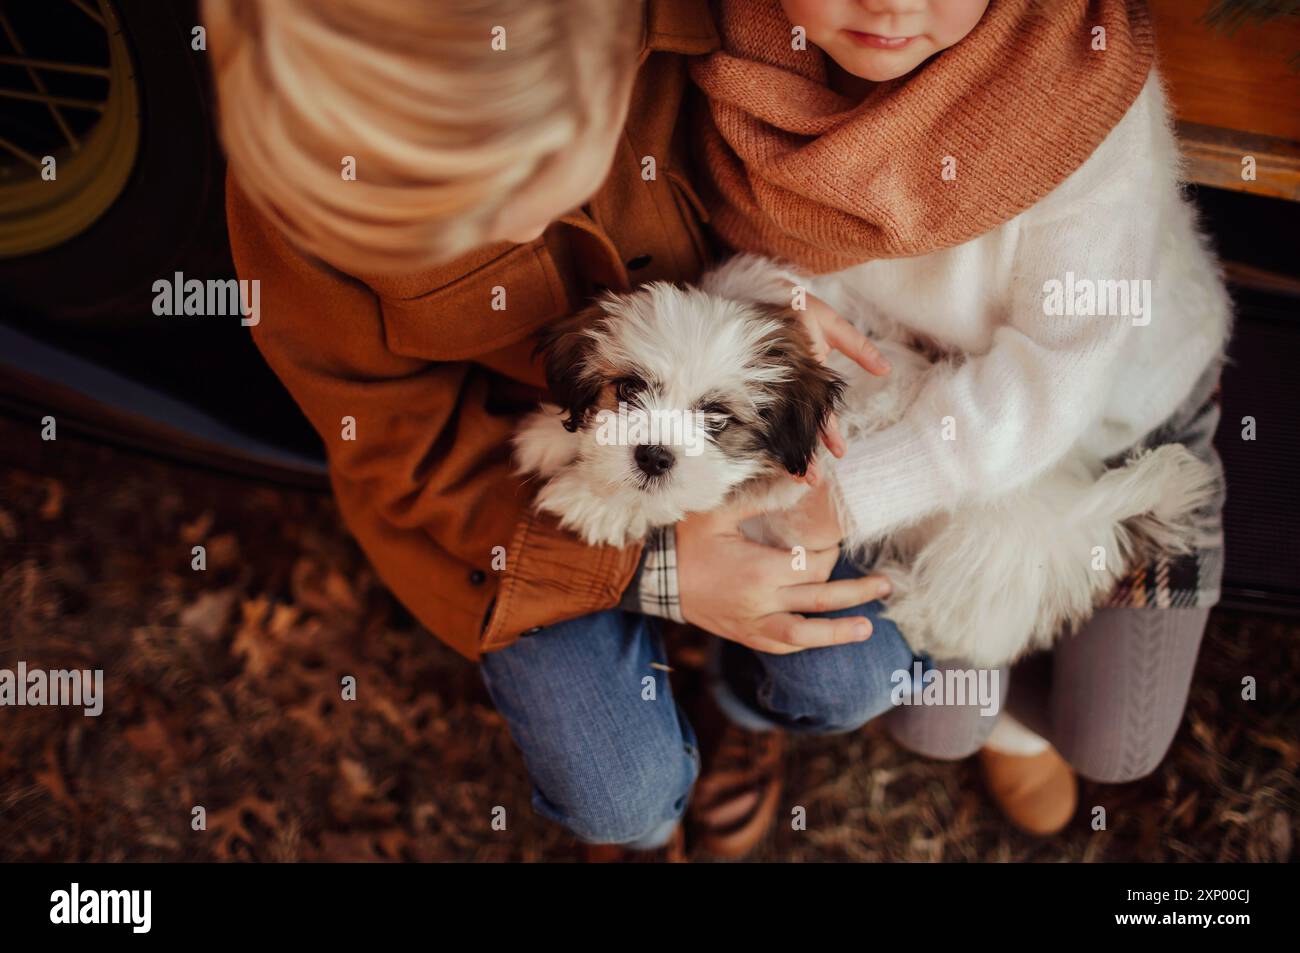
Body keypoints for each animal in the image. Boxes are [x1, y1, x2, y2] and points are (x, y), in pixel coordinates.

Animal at [509, 256, 1216, 665]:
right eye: (628, 389)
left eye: (717, 417)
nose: (653, 455)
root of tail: (1088, 511)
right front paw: (552, 437)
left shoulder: (786, 497)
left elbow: (696, 501)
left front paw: (594, 502)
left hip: (981, 559)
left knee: (975, 628)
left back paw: (905, 599)